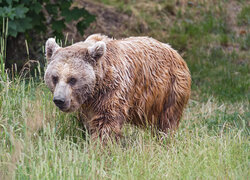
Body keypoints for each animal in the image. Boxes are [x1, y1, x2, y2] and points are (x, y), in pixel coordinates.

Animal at [44, 33, 191, 142]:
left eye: (72, 79)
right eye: (55, 77)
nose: (59, 100)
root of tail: (175, 52)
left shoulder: (113, 90)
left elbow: (106, 121)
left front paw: (99, 145)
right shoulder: (88, 104)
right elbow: (86, 121)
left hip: (170, 90)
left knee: (167, 121)